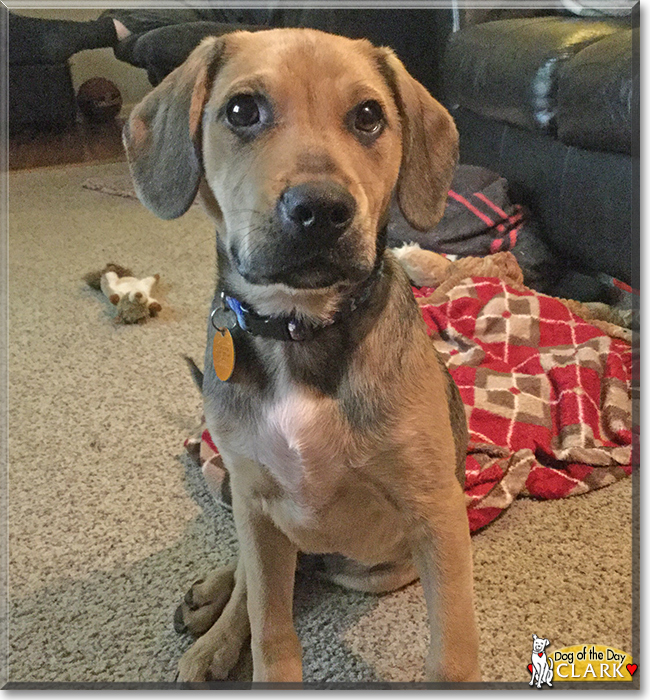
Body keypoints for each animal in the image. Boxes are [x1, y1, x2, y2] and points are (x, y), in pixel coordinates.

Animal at [124, 28, 480, 684]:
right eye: (242, 110)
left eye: (368, 116)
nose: (320, 210)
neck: (299, 326)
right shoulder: (258, 505)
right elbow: (270, 624)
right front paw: (238, 633)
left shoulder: (436, 515)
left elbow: (453, 652)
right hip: (251, 506)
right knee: (253, 578)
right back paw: (213, 623)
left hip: (373, 570)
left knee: (306, 572)